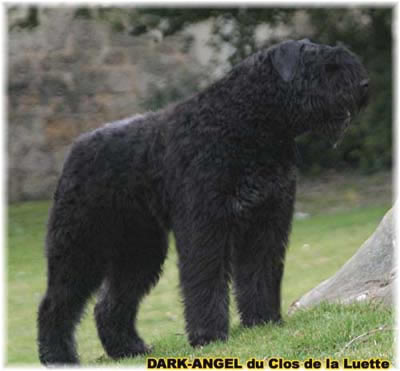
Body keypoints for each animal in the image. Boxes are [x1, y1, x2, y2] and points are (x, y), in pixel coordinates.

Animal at [37, 39, 368, 364]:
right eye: (325, 66)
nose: (364, 84)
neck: (248, 122)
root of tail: (76, 148)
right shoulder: (206, 224)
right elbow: (206, 278)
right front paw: (209, 336)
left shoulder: (267, 221)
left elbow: (260, 272)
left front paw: (263, 321)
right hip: (81, 246)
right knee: (56, 303)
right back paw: (57, 356)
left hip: (139, 250)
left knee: (110, 303)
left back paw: (128, 349)